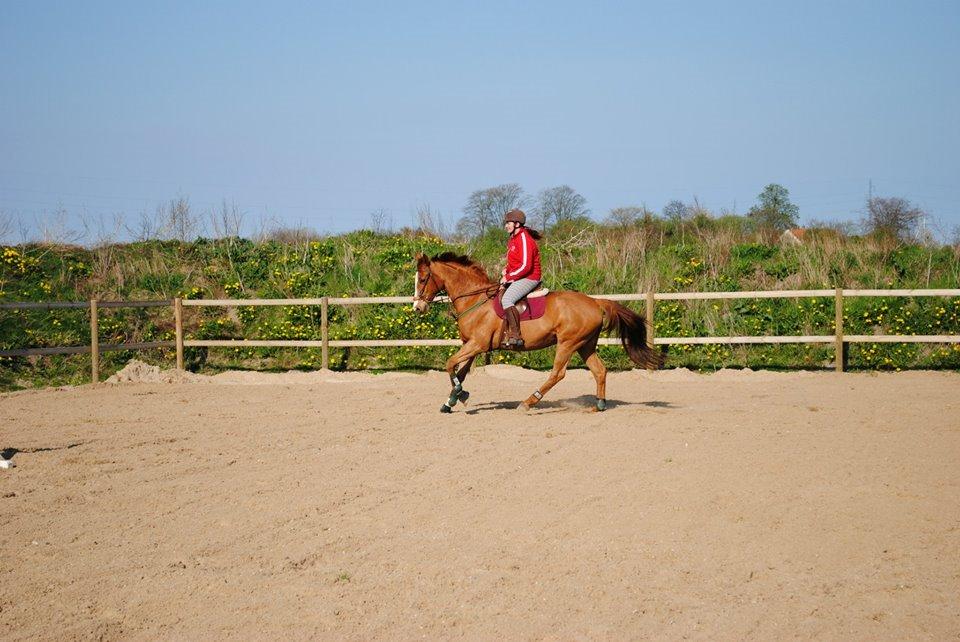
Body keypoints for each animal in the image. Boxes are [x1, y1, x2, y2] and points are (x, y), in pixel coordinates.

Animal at [412, 250, 660, 410]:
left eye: (423, 279)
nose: (418, 307)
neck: (475, 299)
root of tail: (596, 302)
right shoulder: (472, 345)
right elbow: (460, 371)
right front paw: (453, 399)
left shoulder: (477, 344)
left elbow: (450, 364)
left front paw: (459, 395)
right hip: (585, 344)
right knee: (599, 371)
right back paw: (599, 404)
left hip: (567, 343)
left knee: (557, 373)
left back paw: (529, 402)